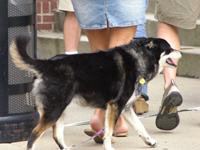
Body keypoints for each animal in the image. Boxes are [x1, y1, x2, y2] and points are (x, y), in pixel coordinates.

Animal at [9, 34, 181, 149]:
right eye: (170, 48)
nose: (180, 51)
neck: (139, 58)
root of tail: (47, 65)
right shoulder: (115, 106)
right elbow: (109, 132)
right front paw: (109, 147)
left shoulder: (125, 108)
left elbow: (140, 126)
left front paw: (149, 140)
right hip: (54, 110)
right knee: (34, 135)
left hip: (60, 110)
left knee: (56, 135)